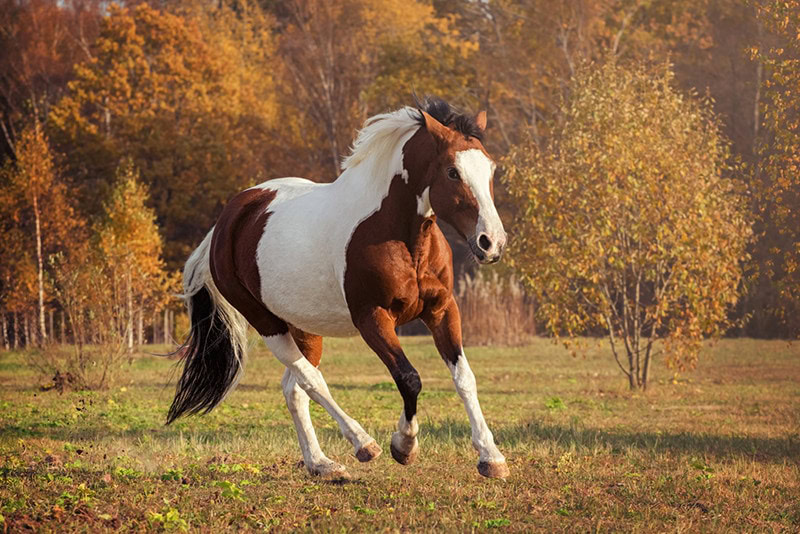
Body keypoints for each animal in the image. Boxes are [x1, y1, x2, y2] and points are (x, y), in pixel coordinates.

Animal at [167, 97, 509, 479]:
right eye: (452, 172)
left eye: (490, 170)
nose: (491, 242)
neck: (400, 236)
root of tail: (225, 222)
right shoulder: (373, 318)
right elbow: (408, 378)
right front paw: (404, 445)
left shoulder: (442, 309)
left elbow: (464, 377)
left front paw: (491, 457)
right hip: (267, 323)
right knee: (310, 380)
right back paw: (363, 444)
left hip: (304, 327)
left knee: (294, 388)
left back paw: (322, 465)